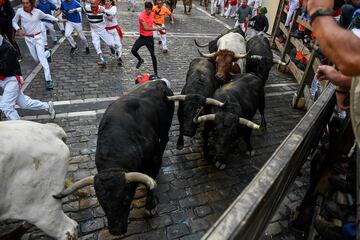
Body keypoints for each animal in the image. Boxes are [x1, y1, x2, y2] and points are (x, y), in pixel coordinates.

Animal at [53, 81, 176, 235]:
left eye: (126, 199)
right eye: (102, 203)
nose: (116, 230)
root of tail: (158, 82)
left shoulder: (154, 158)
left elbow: (151, 181)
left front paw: (150, 206)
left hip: (166, 125)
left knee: (165, 138)